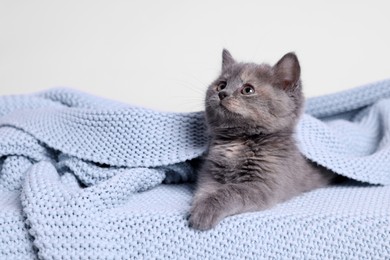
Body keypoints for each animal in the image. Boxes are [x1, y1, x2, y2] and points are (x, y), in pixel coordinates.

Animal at [188, 49, 336, 231]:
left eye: (248, 90)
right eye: (221, 85)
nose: (222, 94)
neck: (239, 140)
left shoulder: (263, 185)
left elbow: (230, 192)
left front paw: (204, 212)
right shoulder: (210, 172)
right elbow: (206, 189)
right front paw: (198, 206)